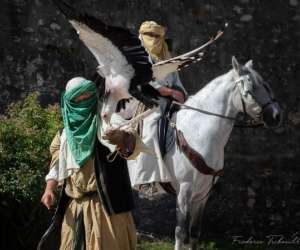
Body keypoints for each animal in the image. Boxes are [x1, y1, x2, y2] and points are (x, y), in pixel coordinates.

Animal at [161, 56, 282, 250]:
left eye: (266, 85)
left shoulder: (203, 194)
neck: (198, 132)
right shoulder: (184, 191)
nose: (276, 116)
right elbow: (180, 232)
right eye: (249, 91)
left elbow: (194, 231)